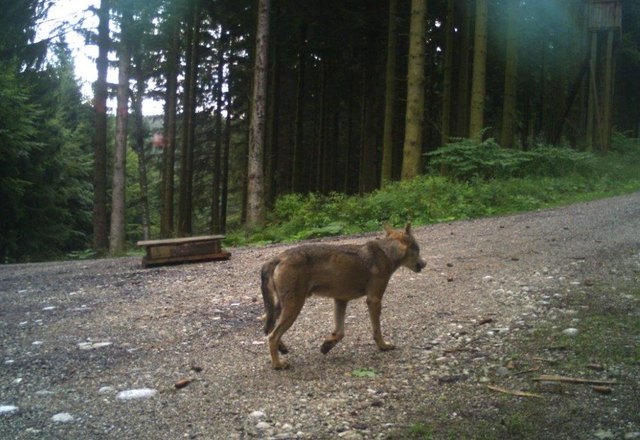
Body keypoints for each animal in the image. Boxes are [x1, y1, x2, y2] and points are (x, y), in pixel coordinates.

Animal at [260, 223, 426, 369]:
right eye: (418, 249)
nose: (425, 264)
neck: (386, 252)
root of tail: (278, 258)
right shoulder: (374, 300)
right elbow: (377, 330)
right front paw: (383, 346)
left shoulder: (341, 300)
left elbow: (339, 333)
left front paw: (326, 346)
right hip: (294, 307)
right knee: (273, 336)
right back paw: (278, 364)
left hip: (280, 307)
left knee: (269, 330)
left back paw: (282, 349)